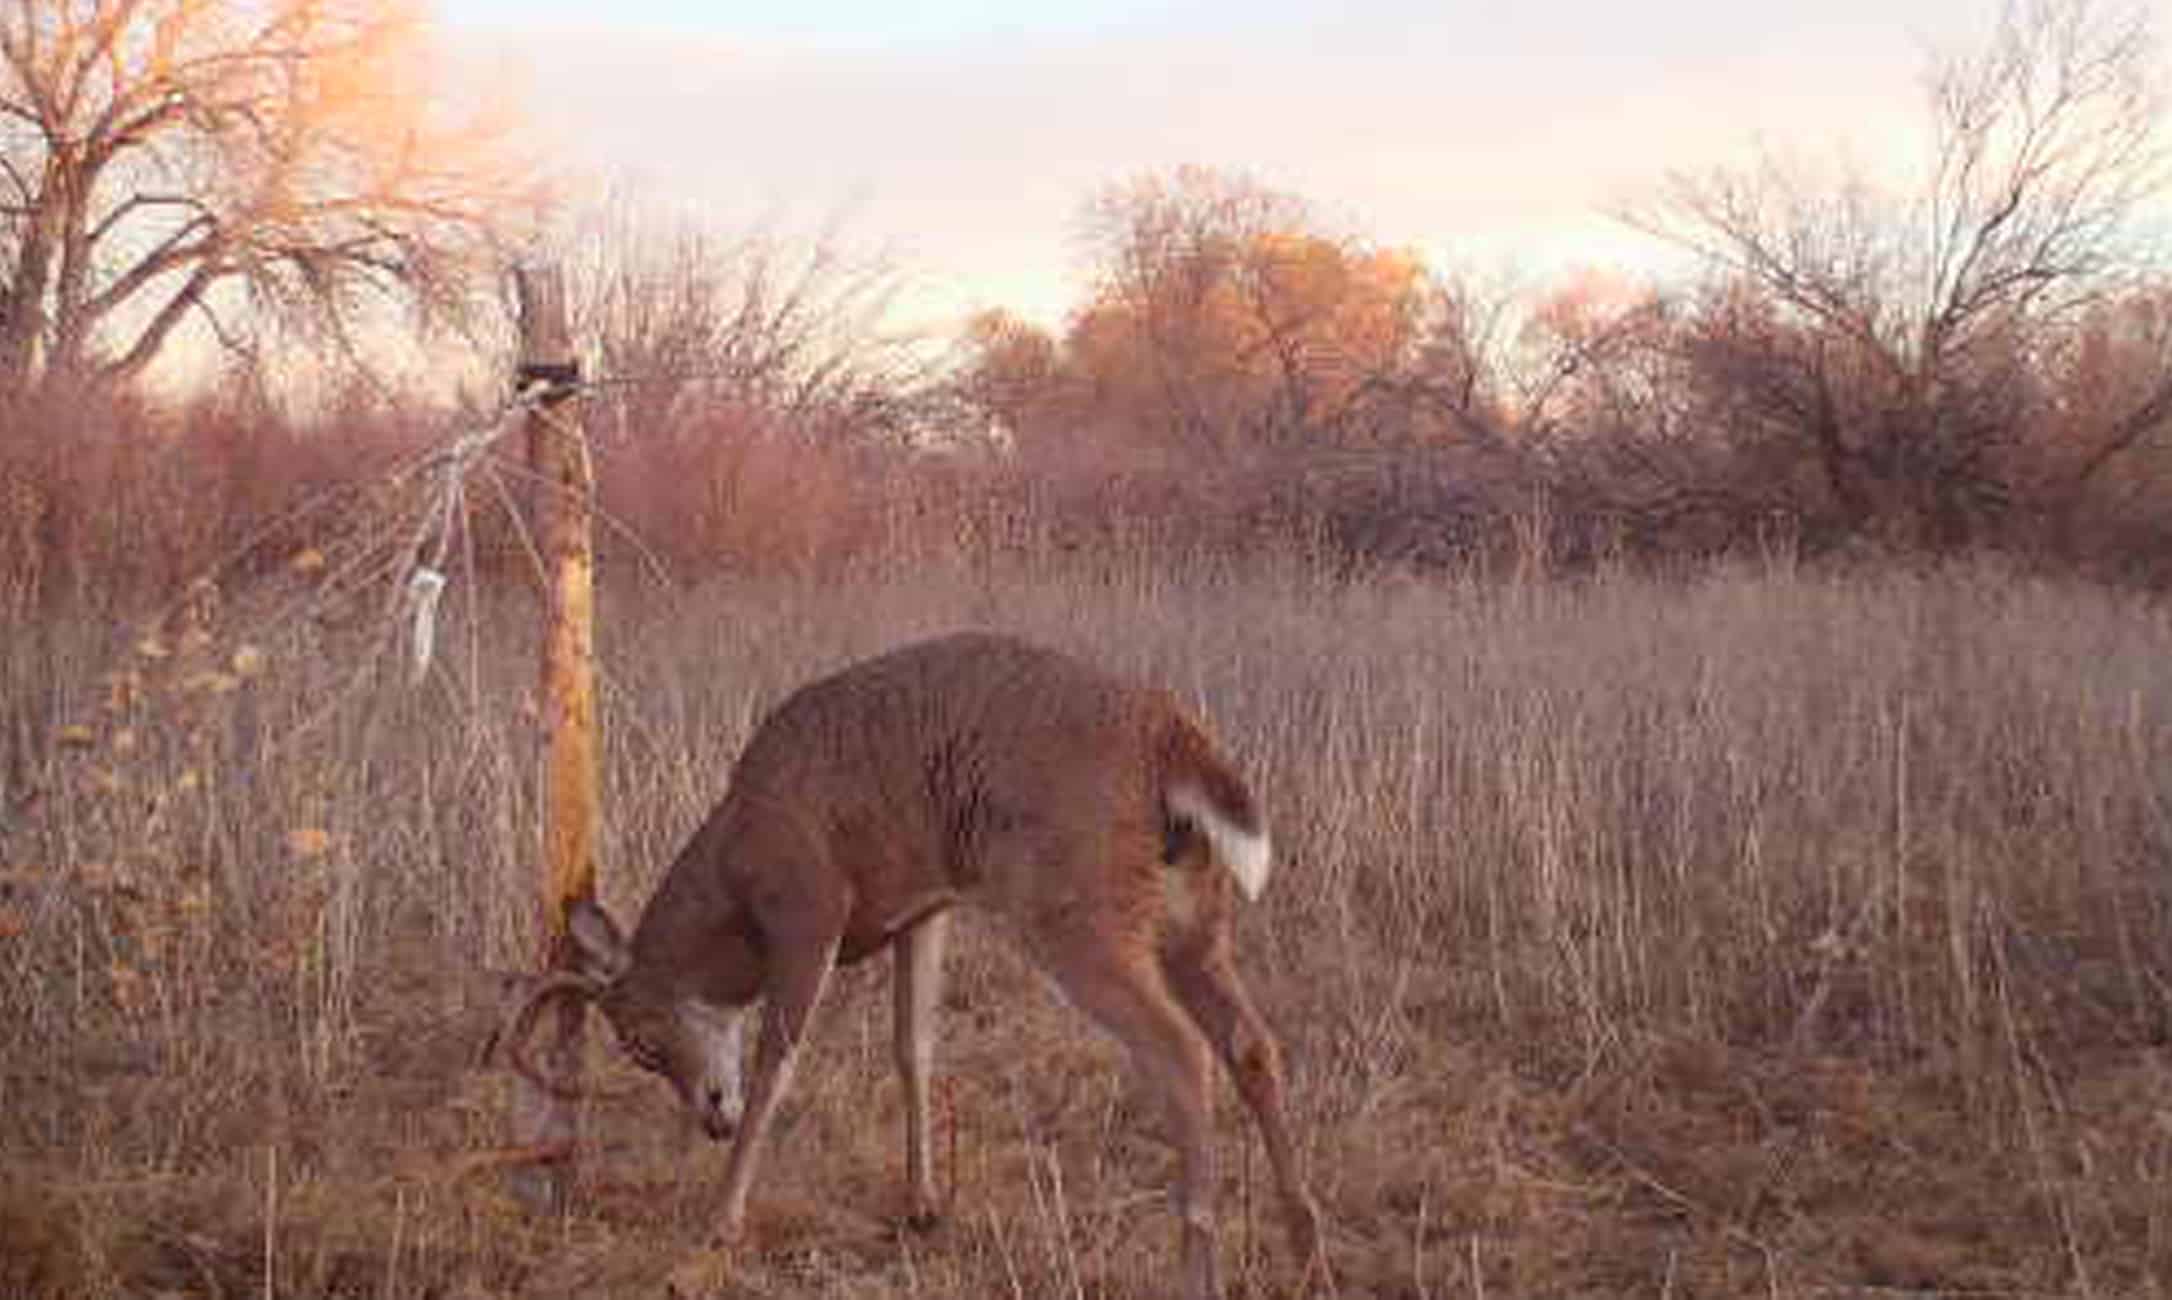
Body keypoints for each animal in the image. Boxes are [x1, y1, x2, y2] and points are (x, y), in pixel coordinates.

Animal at [493, 629, 1320, 1293]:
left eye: (637, 1040)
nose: (710, 1118)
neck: (735, 868)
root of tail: (1170, 738)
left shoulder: (810, 905)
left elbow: (777, 1064)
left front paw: (721, 1220)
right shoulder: (922, 908)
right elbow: (913, 1045)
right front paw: (922, 1204)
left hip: (1075, 908)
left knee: (1181, 1052)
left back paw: (1200, 1270)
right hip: (1193, 916)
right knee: (1252, 1044)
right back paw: (1305, 1247)